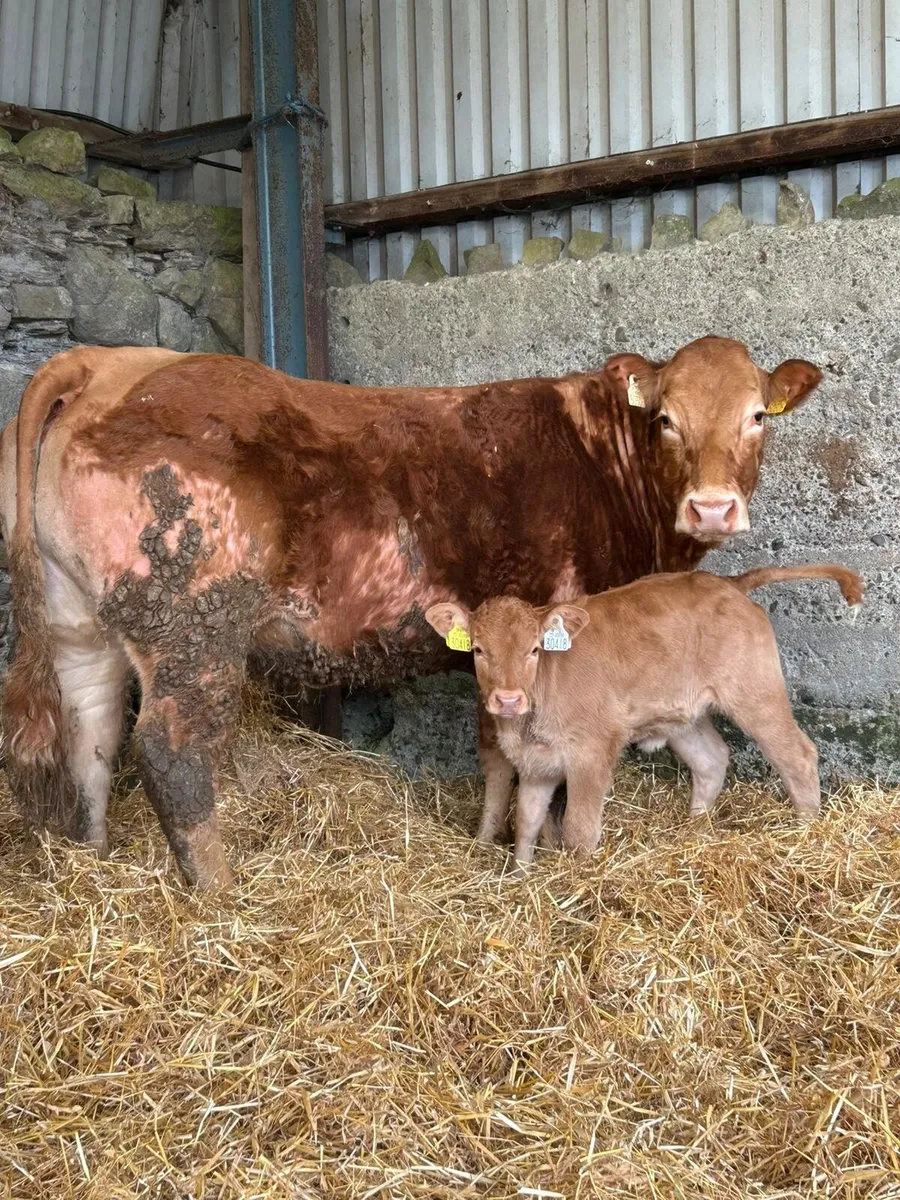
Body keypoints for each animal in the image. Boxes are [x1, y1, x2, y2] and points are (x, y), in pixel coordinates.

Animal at [424, 564, 863, 870]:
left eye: (534, 649)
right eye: (478, 650)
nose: (509, 699)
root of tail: (727, 582)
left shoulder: (592, 752)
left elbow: (579, 830)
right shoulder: (537, 763)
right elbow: (527, 821)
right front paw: (520, 877)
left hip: (755, 692)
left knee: (797, 756)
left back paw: (806, 834)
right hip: (684, 714)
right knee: (711, 760)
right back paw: (693, 835)